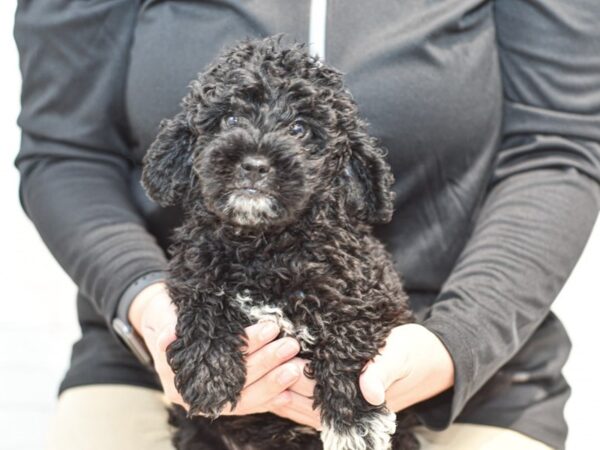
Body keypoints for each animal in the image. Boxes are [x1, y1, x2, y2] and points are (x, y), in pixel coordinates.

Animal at [144, 37, 420, 450]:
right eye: (230, 120)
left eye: (300, 128)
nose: (254, 165)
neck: (264, 247)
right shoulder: (191, 268)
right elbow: (203, 298)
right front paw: (207, 374)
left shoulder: (372, 293)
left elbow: (348, 329)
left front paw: (355, 422)